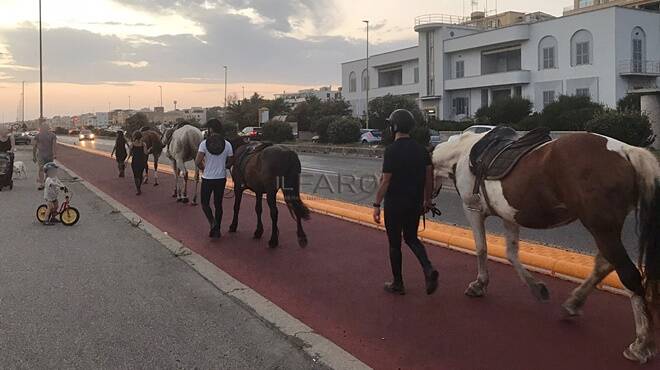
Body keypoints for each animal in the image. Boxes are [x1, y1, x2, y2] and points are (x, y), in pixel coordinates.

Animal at [434, 132, 660, 362]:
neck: (461, 154)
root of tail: (626, 150)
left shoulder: (472, 209)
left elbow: (481, 248)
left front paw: (479, 285)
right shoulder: (509, 215)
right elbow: (511, 253)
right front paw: (537, 288)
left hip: (601, 228)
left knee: (628, 274)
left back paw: (641, 344)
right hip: (606, 229)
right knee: (605, 264)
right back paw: (574, 304)